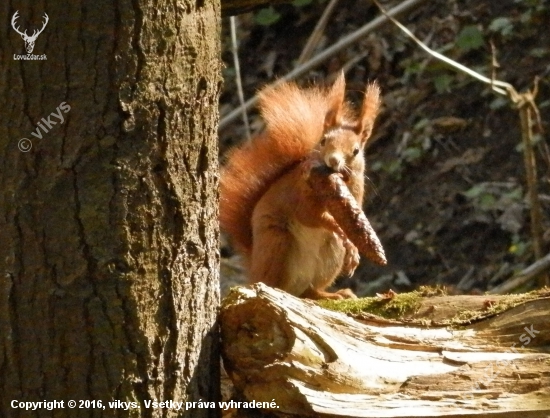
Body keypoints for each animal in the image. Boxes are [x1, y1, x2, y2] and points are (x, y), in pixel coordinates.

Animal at [219, 72, 380, 300]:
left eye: (356, 150)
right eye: (323, 141)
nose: (333, 160)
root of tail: (254, 268)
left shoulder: (355, 196)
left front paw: (353, 248)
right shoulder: (299, 194)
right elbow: (309, 216)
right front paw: (341, 230)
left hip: (330, 255)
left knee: (310, 291)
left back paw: (333, 294)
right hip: (277, 242)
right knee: (275, 283)